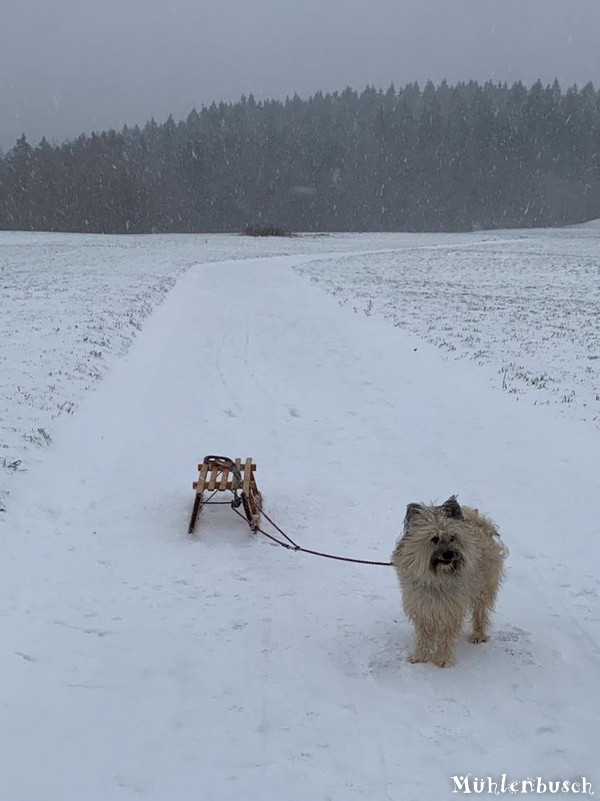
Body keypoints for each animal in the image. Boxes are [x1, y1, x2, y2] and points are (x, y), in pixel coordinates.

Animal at [392, 496, 508, 664]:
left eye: (453, 538)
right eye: (435, 538)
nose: (449, 554)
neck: (437, 578)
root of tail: (480, 523)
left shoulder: (451, 608)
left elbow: (447, 634)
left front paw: (443, 659)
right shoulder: (421, 604)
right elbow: (423, 633)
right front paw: (420, 655)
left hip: (483, 588)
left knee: (480, 613)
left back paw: (478, 635)